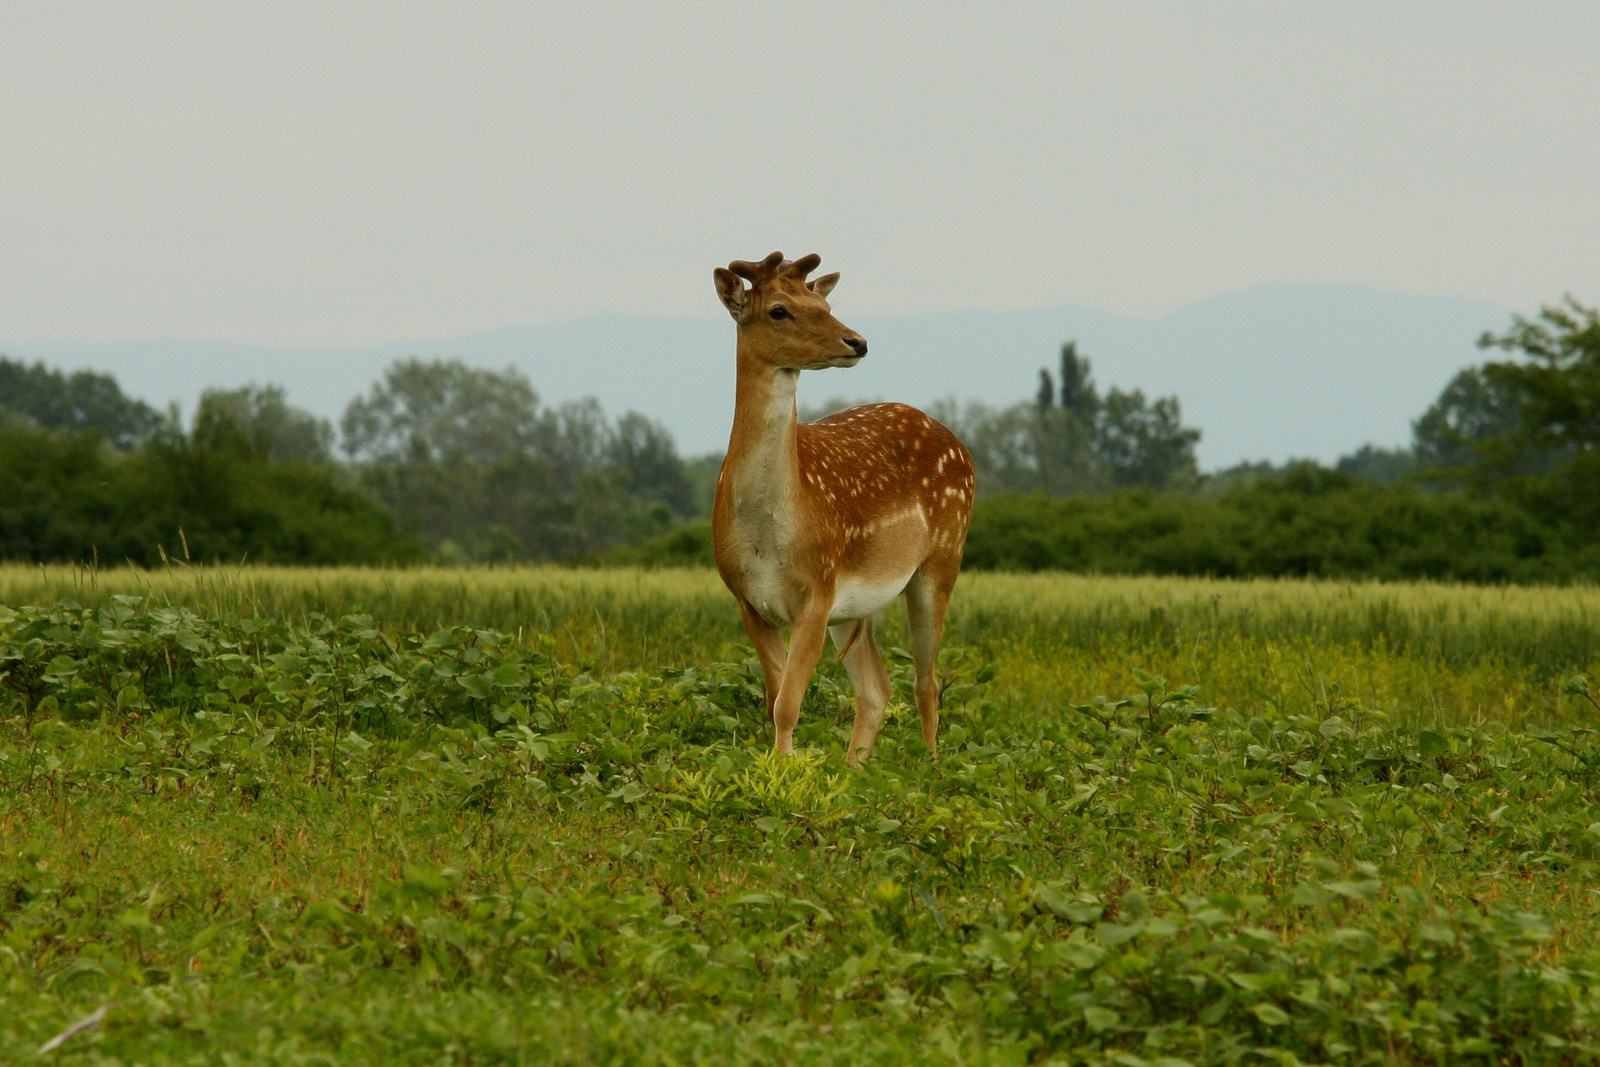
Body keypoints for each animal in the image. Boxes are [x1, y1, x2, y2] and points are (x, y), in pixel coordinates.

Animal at [713, 251, 972, 767]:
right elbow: (775, 699)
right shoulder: (747, 598)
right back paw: (855, 771)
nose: (858, 341)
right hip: (854, 607)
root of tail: (962, 447)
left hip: (942, 558)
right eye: (779, 310)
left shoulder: (818, 585)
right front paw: (782, 769)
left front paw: (785, 774)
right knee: (876, 688)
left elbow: (788, 704)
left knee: (926, 681)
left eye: (823, 303)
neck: (765, 535)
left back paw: (931, 769)